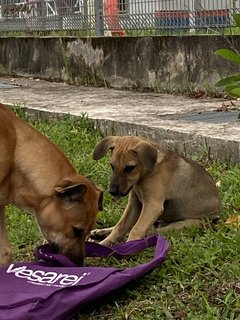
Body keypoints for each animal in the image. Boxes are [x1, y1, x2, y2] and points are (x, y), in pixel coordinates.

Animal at [91, 135, 222, 245]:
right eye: (112, 166)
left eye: (129, 168)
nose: (112, 191)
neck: (145, 175)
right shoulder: (134, 204)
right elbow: (120, 226)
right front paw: (103, 244)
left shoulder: (153, 205)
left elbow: (137, 228)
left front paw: (129, 246)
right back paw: (100, 232)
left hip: (187, 224)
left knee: (152, 232)